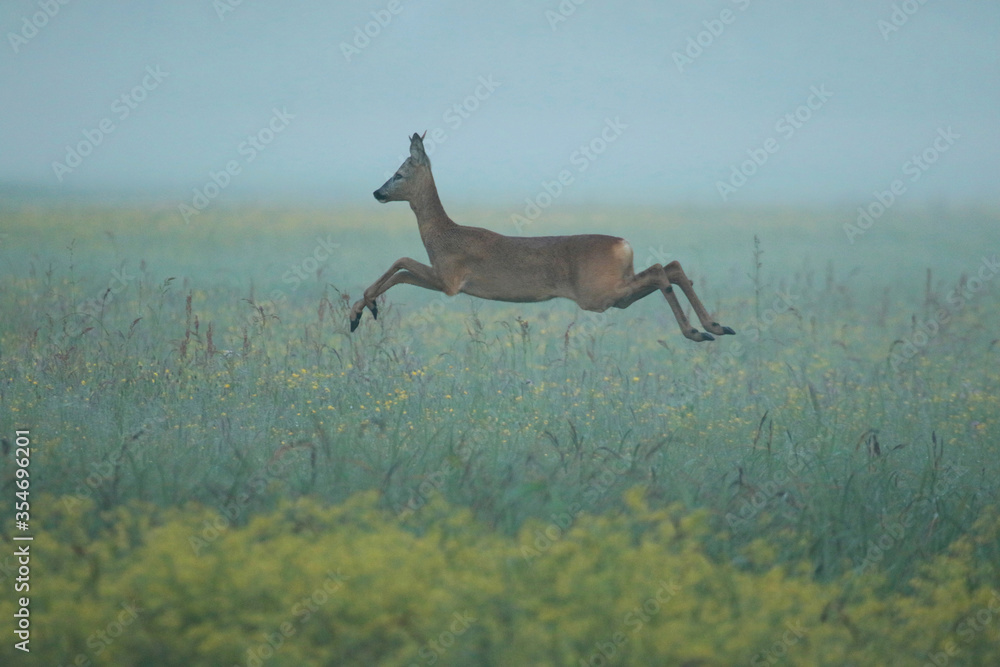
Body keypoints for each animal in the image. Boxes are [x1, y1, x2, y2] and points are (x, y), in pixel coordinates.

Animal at [349, 132, 735, 342]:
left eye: (399, 174)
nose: (377, 193)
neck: (442, 234)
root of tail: (622, 245)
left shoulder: (450, 279)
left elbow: (400, 262)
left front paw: (360, 310)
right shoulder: (446, 280)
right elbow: (400, 269)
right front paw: (361, 311)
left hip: (598, 294)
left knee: (660, 270)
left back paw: (697, 331)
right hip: (615, 294)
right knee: (671, 266)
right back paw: (715, 326)